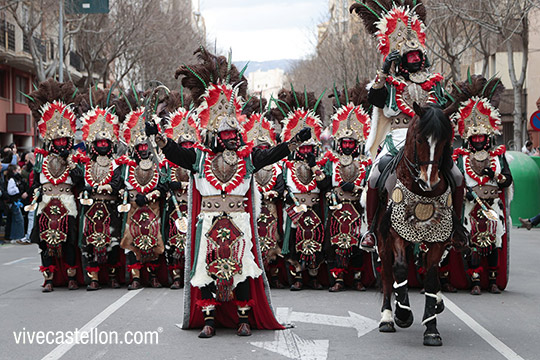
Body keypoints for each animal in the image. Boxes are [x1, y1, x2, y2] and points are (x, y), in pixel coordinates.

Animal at [376, 103, 460, 346]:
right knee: (387, 273)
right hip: (381, 240)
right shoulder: (395, 232)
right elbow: (400, 269)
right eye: (421, 139)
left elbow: (431, 277)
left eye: (445, 140)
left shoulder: (438, 238)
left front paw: (431, 329)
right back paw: (387, 317)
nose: (428, 180)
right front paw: (403, 314)